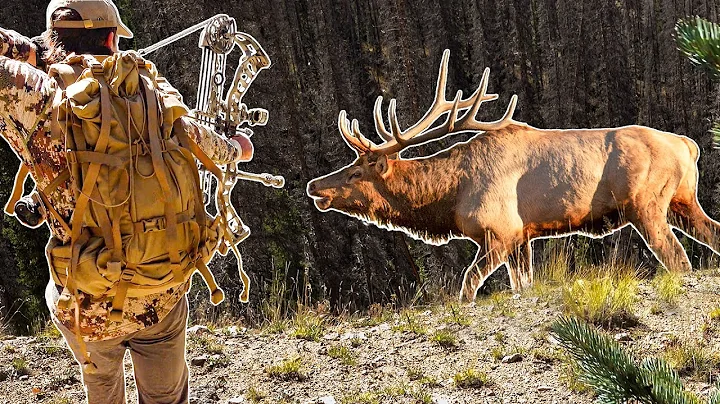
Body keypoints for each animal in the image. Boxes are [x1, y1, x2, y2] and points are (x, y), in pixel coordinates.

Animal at [306, 49, 720, 302]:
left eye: (354, 171)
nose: (314, 185)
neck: (450, 197)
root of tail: (688, 144)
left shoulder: (499, 231)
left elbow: (468, 285)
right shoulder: (523, 237)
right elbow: (523, 285)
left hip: (645, 204)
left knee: (679, 259)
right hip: (682, 200)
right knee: (711, 233)